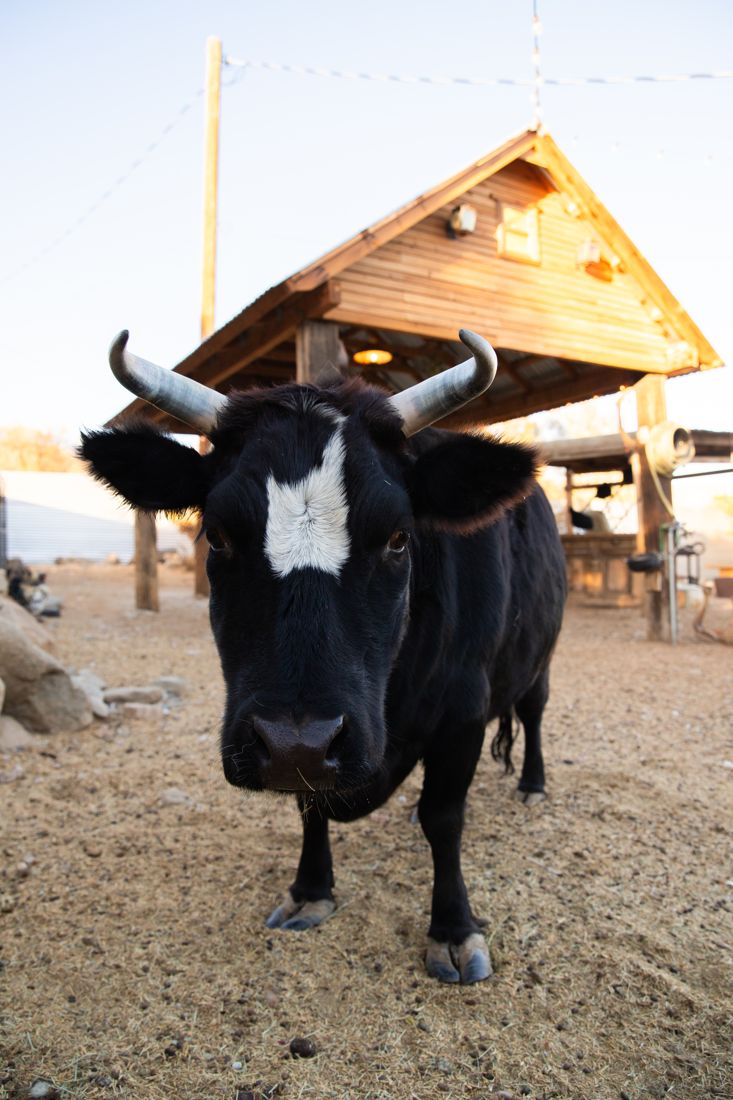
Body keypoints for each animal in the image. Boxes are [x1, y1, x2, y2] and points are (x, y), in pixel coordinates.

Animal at [81, 327, 566, 985]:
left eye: (398, 536)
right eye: (218, 534)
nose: (297, 741)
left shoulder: (463, 709)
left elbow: (445, 817)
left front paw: (454, 928)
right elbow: (309, 802)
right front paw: (311, 890)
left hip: (540, 658)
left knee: (534, 711)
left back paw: (533, 784)